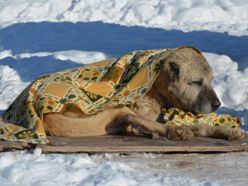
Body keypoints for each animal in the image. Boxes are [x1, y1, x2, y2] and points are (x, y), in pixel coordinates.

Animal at [42, 46, 244, 141]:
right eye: (196, 82)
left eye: (211, 81)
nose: (217, 104)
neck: (159, 87)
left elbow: (201, 125)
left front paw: (226, 131)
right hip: (115, 109)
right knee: (134, 119)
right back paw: (173, 132)